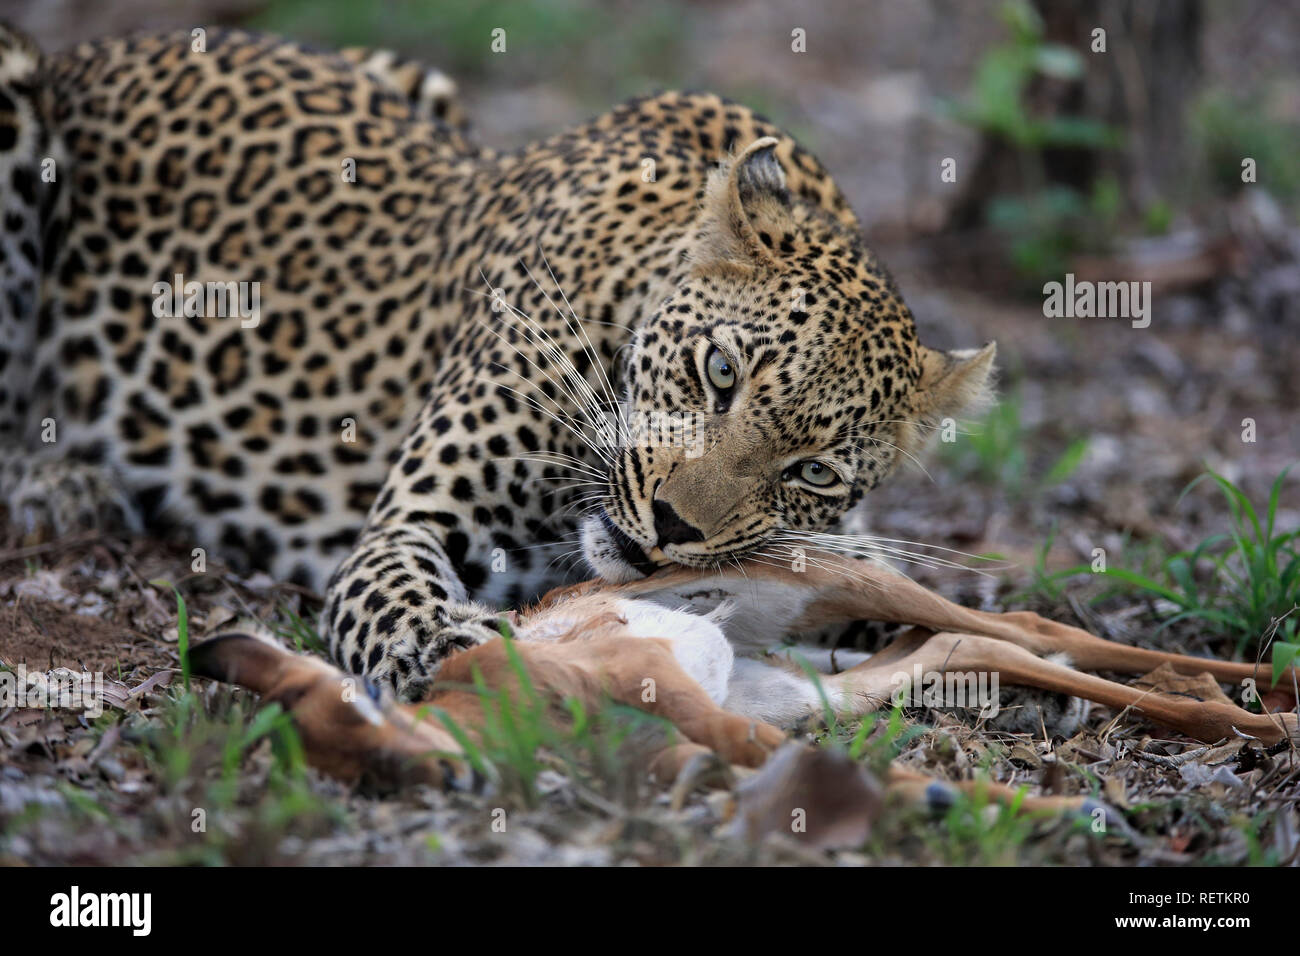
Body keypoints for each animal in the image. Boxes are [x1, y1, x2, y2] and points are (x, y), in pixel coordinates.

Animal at [0, 26, 993, 702]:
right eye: (719, 372)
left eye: (813, 471)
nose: (674, 526)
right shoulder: (410, 524)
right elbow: (395, 594)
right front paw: (441, 646)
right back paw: (63, 483)